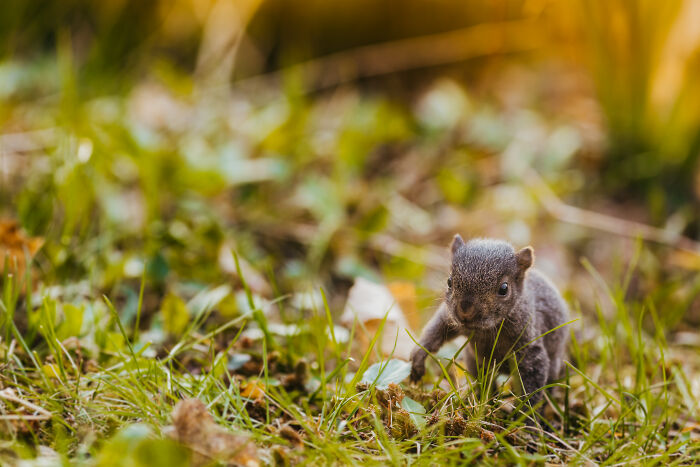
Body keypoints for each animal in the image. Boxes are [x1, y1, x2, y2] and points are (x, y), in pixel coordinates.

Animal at [410, 236, 568, 412]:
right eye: (449, 281)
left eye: (504, 288)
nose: (465, 311)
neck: (485, 330)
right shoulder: (449, 317)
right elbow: (436, 330)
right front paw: (418, 357)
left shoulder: (528, 341)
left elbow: (532, 378)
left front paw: (524, 416)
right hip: (475, 363)